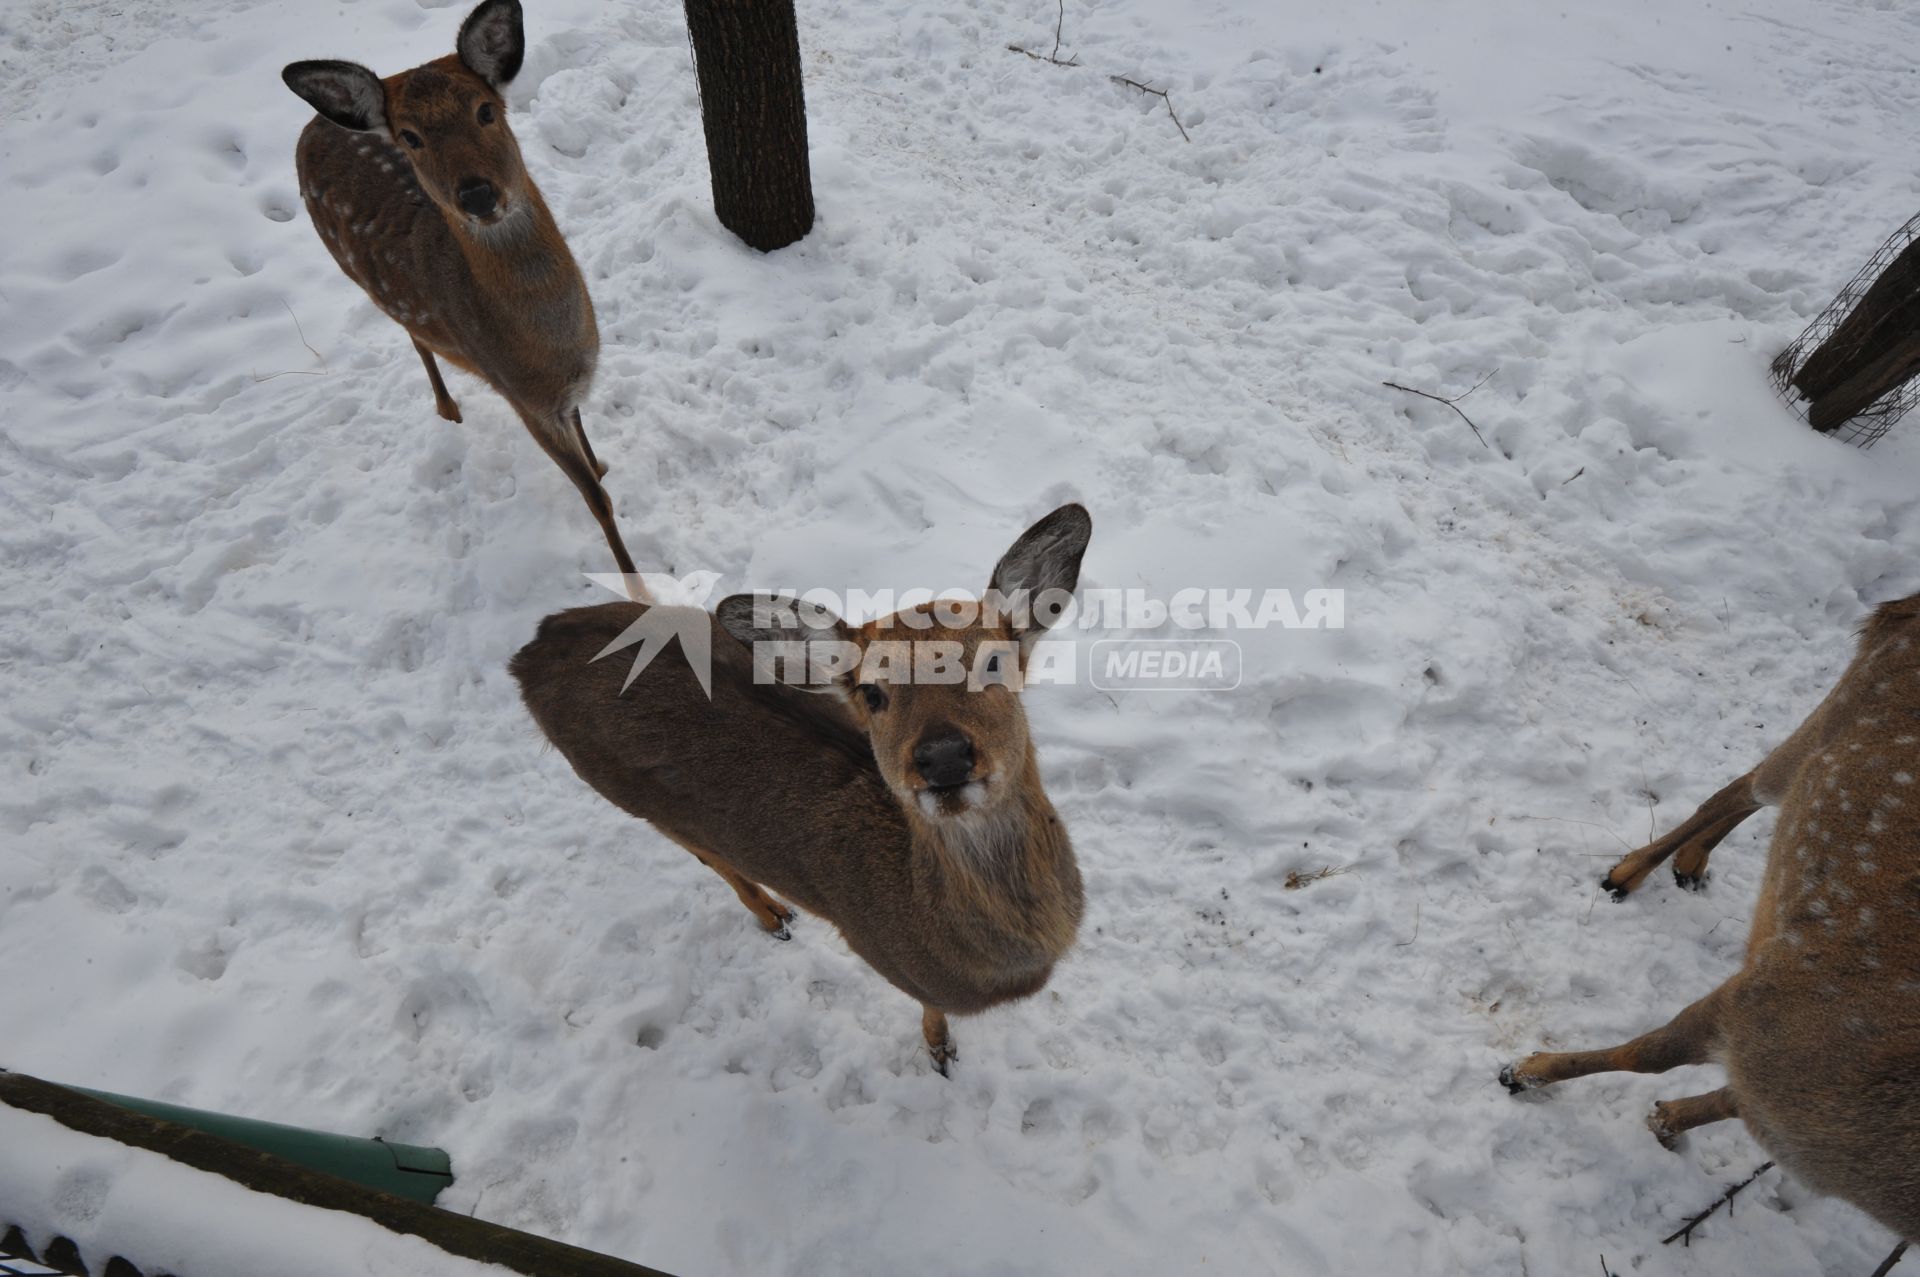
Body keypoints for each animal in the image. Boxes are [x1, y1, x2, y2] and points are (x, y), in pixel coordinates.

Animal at [278, 0, 637, 587]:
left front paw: (605, 464)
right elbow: (594, 500)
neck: (554, 345)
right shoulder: (519, 394)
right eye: (409, 136)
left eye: (485, 110)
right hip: (363, 280)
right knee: (413, 336)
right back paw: (448, 409)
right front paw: (642, 588)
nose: (476, 194)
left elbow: (587, 443)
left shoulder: (566, 390)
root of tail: (312, 124)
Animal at [503, 503, 1098, 1067]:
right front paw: (940, 1052)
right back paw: (774, 915)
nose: (944, 756)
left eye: (994, 662)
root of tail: (528, 651)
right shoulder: (884, 957)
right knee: (703, 852)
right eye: (872, 692)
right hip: (619, 791)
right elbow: (929, 1011)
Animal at [1497, 595, 1920, 1244]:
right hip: (1839, 711)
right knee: (1740, 785)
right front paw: (1525, 1071)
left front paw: (1666, 1121)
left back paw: (1689, 864)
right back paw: (1629, 872)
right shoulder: (1757, 1001)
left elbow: (1728, 1100)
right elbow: (1647, 1054)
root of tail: (1900, 606)